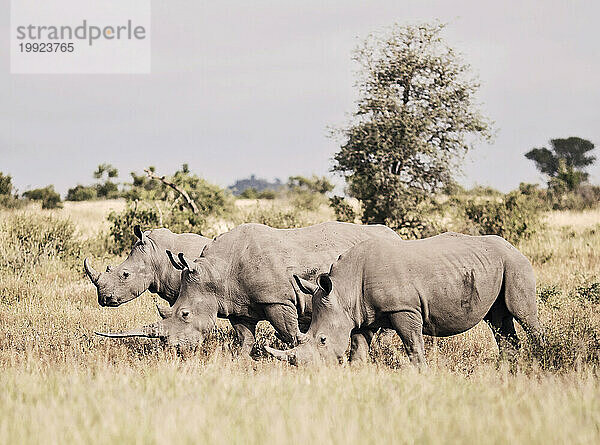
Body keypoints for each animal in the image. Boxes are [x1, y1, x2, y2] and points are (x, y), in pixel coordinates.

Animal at [97, 220, 398, 360]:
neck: (214, 273)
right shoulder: (237, 305)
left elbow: (290, 335)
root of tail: (395, 236)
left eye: (185, 314)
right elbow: (244, 338)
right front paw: (240, 361)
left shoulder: (277, 301)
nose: (175, 350)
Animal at [264, 231, 540, 366]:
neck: (344, 290)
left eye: (322, 340)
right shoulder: (361, 316)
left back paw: (542, 357)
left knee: (524, 315)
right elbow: (358, 350)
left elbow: (413, 346)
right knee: (498, 321)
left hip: (516, 263)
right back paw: (509, 369)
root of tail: (514, 247)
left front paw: (422, 373)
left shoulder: (404, 309)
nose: (308, 369)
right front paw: (356, 373)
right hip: (497, 266)